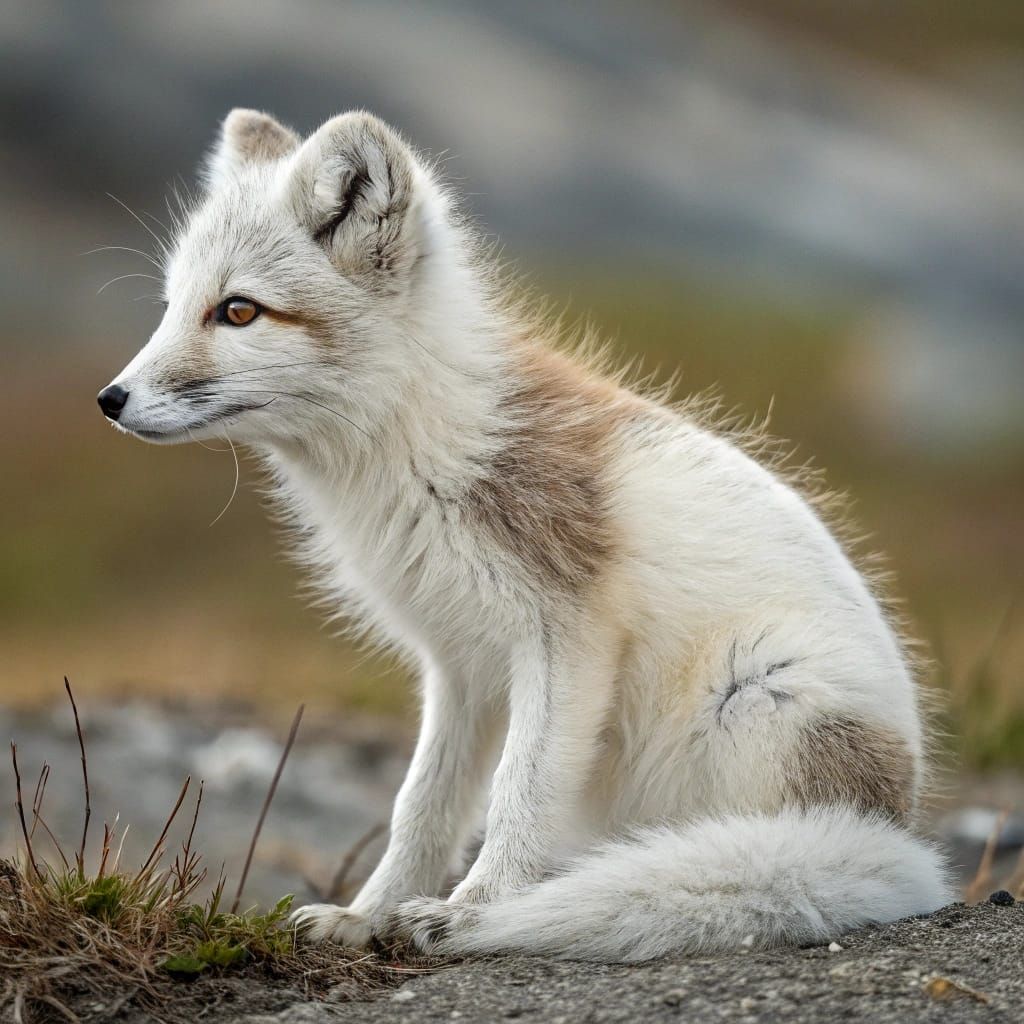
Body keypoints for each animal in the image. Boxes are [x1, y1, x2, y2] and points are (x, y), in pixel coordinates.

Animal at [98, 108, 951, 962]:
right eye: (171, 305)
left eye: (239, 311)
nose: (110, 398)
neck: (419, 447)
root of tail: (897, 827)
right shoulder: (458, 665)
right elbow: (422, 804)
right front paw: (366, 916)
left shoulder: (564, 640)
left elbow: (519, 793)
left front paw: (474, 911)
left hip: (757, 694)